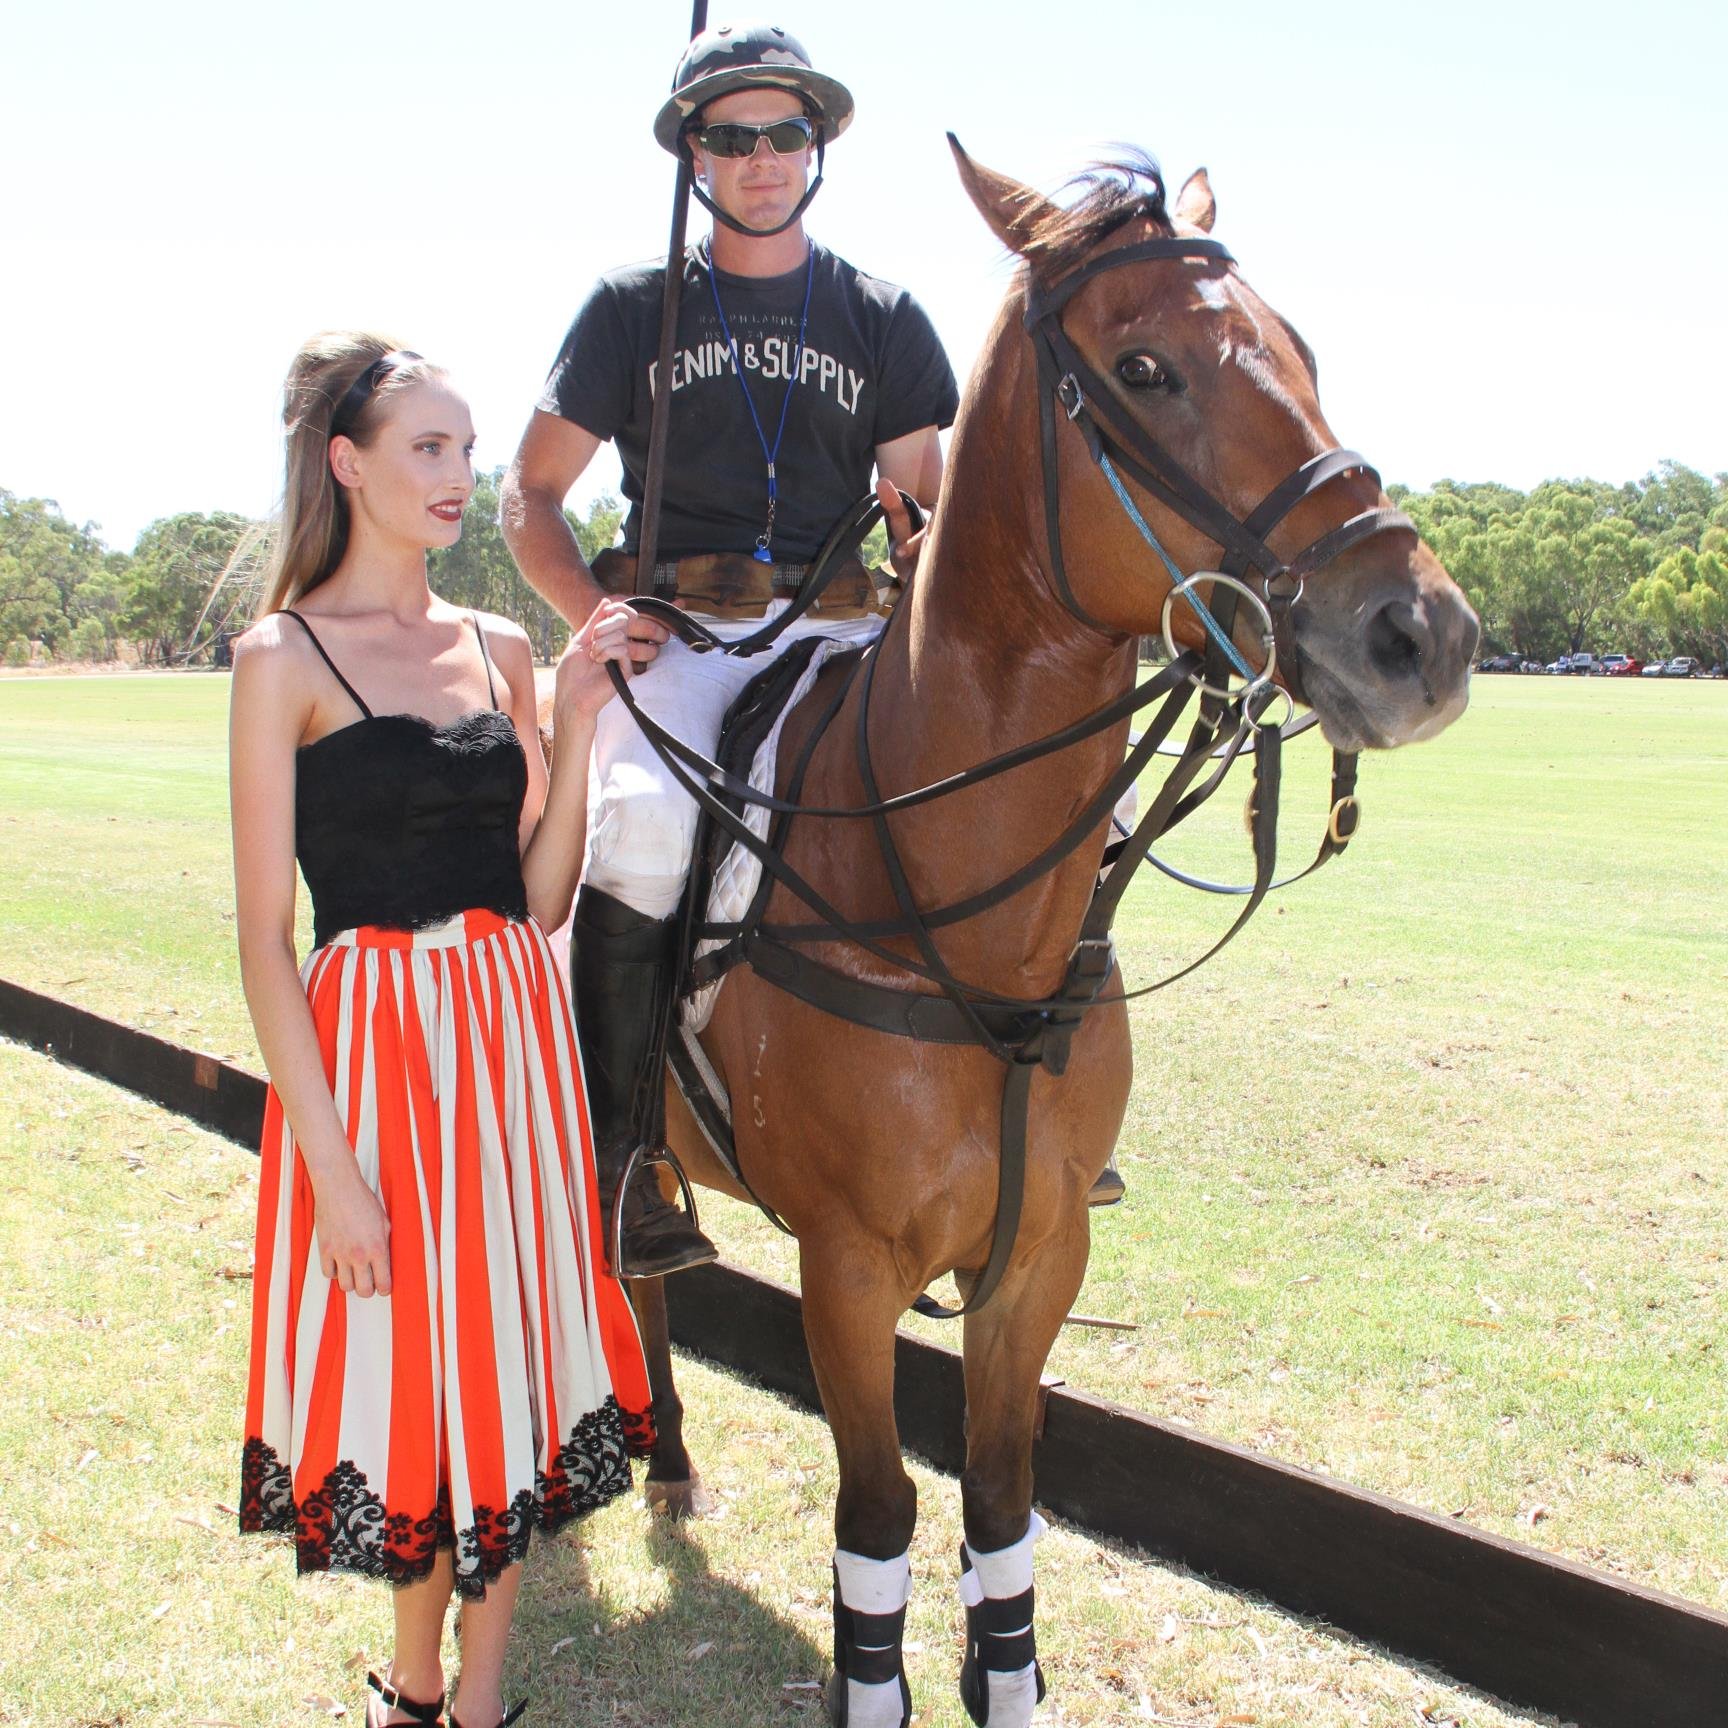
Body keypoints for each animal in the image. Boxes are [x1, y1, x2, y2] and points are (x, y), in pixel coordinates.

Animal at [615, 139, 1479, 1728]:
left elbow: (1002, 1508)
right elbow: (879, 1518)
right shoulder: (849, 1267)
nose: (1423, 637)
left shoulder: (1039, 1258)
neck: (978, 928)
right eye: (1144, 368)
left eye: (1303, 348)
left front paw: (999, 1671)